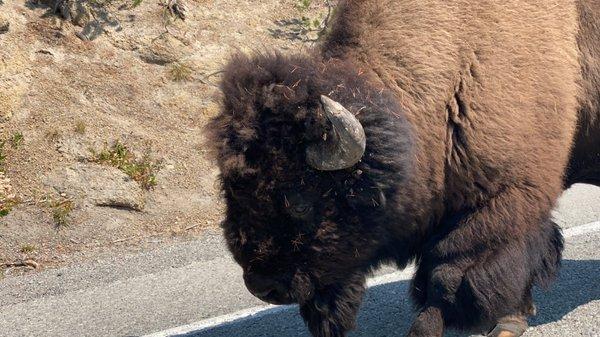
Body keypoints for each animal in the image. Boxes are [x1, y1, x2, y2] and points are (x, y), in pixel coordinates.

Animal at [205, 0, 596, 336]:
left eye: (300, 201)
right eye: (229, 191)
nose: (262, 286)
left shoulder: (503, 200)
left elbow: (448, 276)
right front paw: (515, 316)